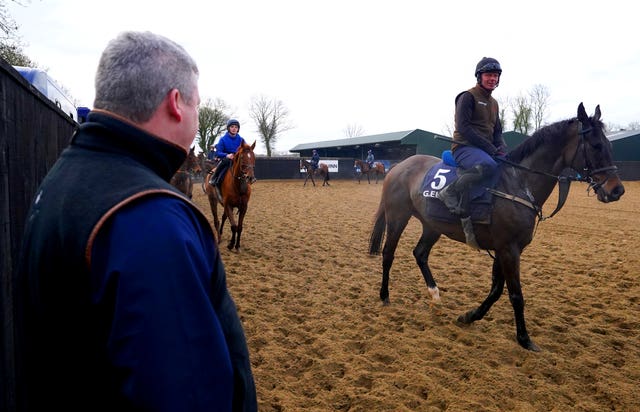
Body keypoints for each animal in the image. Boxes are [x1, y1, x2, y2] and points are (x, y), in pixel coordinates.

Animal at [368, 104, 624, 350]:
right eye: (596, 145)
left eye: (609, 145)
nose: (617, 190)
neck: (518, 183)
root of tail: (398, 167)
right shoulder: (509, 249)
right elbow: (515, 294)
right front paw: (524, 338)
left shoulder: (505, 249)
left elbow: (496, 290)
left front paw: (469, 316)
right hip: (398, 217)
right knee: (388, 254)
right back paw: (384, 296)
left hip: (432, 225)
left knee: (420, 253)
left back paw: (435, 294)